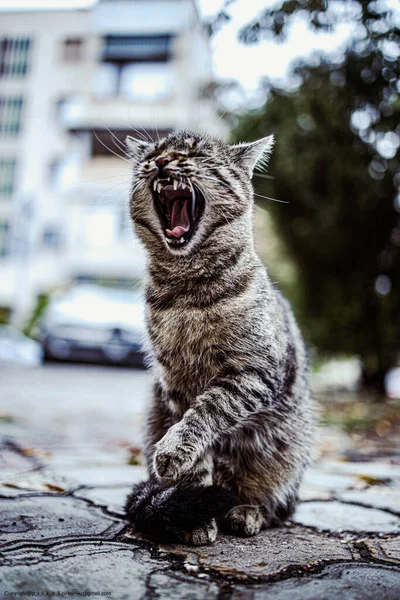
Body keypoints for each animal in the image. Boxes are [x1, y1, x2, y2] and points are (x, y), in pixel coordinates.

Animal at [123, 130, 314, 544]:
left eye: (194, 153)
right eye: (153, 152)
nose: (162, 161)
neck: (186, 293)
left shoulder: (252, 371)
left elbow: (208, 411)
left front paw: (176, 452)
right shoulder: (174, 382)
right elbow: (198, 457)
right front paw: (195, 510)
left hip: (288, 452)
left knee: (277, 506)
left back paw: (247, 511)